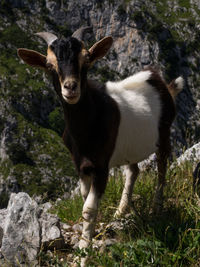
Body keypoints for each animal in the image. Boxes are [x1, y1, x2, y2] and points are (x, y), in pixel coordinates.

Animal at [18, 27, 184, 266]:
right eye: (49, 65)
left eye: (86, 60)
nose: (70, 88)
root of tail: (158, 79)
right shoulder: (81, 165)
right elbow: (85, 198)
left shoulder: (101, 167)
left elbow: (88, 208)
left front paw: (83, 255)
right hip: (128, 148)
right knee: (133, 170)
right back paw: (121, 212)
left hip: (164, 133)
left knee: (162, 167)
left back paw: (156, 206)